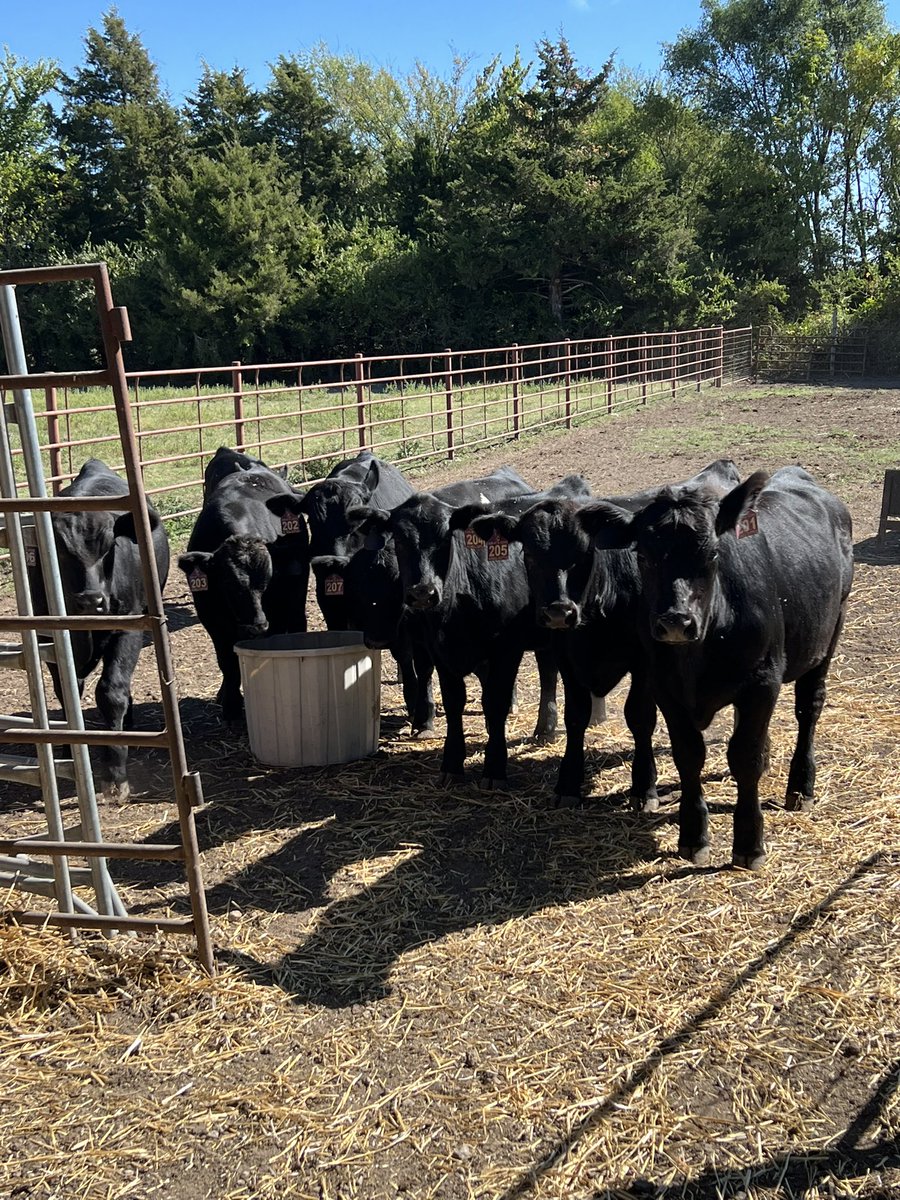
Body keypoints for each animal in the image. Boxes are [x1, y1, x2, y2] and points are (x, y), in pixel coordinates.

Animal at [26, 458, 170, 800]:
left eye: (109, 547)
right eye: (60, 550)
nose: (91, 599)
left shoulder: (129, 627)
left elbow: (111, 691)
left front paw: (115, 773)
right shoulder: (51, 638)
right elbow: (67, 691)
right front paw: (69, 746)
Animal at [178, 463, 309, 725]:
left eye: (268, 580)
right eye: (226, 582)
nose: (256, 625)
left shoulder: (276, 614)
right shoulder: (211, 617)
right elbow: (227, 662)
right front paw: (230, 704)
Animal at [351, 475, 591, 787]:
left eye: (445, 538)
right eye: (400, 541)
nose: (422, 592)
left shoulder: (505, 650)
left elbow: (496, 702)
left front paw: (495, 767)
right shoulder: (440, 651)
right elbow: (454, 702)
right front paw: (452, 763)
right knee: (548, 671)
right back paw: (544, 727)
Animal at [467, 461, 742, 809]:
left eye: (585, 553)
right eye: (529, 555)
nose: (559, 611)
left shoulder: (645, 660)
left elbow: (640, 717)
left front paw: (644, 786)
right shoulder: (568, 658)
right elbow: (575, 716)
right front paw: (568, 783)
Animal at [577, 465, 853, 869]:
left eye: (712, 553)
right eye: (643, 554)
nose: (676, 622)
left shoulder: (762, 682)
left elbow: (746, 758)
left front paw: (750, 842)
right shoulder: (665, 686)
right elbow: (689, 755)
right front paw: (693, 836)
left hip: (829, 634)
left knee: (809, 709)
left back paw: (801, 787)